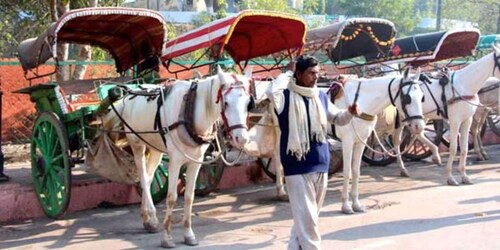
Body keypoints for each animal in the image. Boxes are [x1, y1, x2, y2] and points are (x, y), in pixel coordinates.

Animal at [104, 67, 254, 248]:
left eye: (248, 103)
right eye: (226, 103)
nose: (241, 138)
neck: (191, 108)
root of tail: (127, 96)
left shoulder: (197, 160)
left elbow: (189, 197)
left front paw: (189, 234)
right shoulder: (175, 160)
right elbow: (171, 198)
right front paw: (167, 237)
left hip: (155, 148)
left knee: (149, 177)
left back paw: (148, 219)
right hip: (137, 144)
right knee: (143, 178)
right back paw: (151, 216)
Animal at [394, 46, 500, 185]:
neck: (464, 85)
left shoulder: (467, 120)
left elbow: (465, 148)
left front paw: (464, 176)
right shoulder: (455, 121)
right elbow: (454, 148)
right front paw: (450, 177)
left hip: (421, 116)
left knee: (418, 132)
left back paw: (435, 154)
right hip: (403, 117)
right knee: (397, 141)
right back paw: (402, 168)